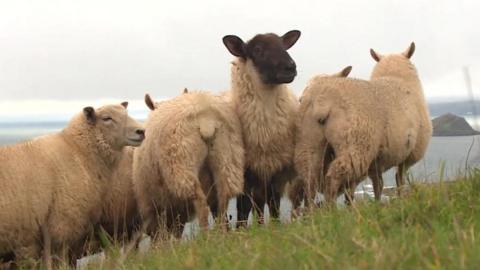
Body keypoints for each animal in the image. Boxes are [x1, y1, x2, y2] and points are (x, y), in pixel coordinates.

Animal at [131, 91, 244, 236]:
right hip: (228, 157)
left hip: (182, 162)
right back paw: (222, 232)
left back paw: (205, 234)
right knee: (223, 198)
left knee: (201, 202)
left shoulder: (155, 205)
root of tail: (206, 120)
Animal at [221, 30, 300, 224]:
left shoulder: (276, 169)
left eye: (283, 45)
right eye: (257, 50)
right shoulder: (245, 172)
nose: (290, 67)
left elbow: (273, 204)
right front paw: (241, 228)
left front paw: (275, 226)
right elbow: (243, 208)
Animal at [296, 42, 432, 205]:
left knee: (309, 177)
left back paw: (311, 210)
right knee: (334, 176)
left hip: (308, 142)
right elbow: (398, 180)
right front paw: (400, 201)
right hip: (355, 145)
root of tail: (320, 98)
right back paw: (331, 208)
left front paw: (377, 203)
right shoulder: (409, 155)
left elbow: (378, 184)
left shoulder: (376, 162)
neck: (397, 78)